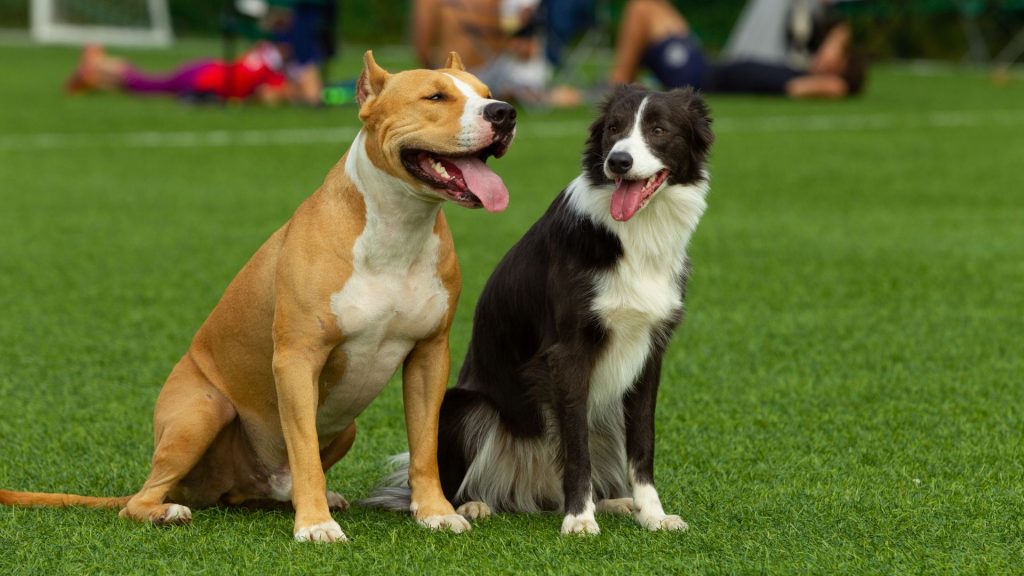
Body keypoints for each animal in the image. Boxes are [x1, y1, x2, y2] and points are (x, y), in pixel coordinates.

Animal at [0, 51, 512, 541]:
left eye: (487, 91)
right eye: (435, 96)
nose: (504, 112)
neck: (397, 229)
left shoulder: (429, 355)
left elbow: (424, 447)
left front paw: (435, 512)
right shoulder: (297, 358)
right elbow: (304, 451)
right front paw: (315, 525)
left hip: (343, 428)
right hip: (202, 410)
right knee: (142, 499)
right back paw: (168, 511)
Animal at [368, 84, 712, 532]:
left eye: (658, 129)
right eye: (614, 129)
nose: (618, 161)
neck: (634, 234)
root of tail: (529, 488)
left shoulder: (649, 354)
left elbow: (642, 444)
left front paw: (652, 515)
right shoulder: (567, 354)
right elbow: (576, 448)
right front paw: (579, 520)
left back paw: (614, 502)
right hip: (463, 406)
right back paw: (473, 505)